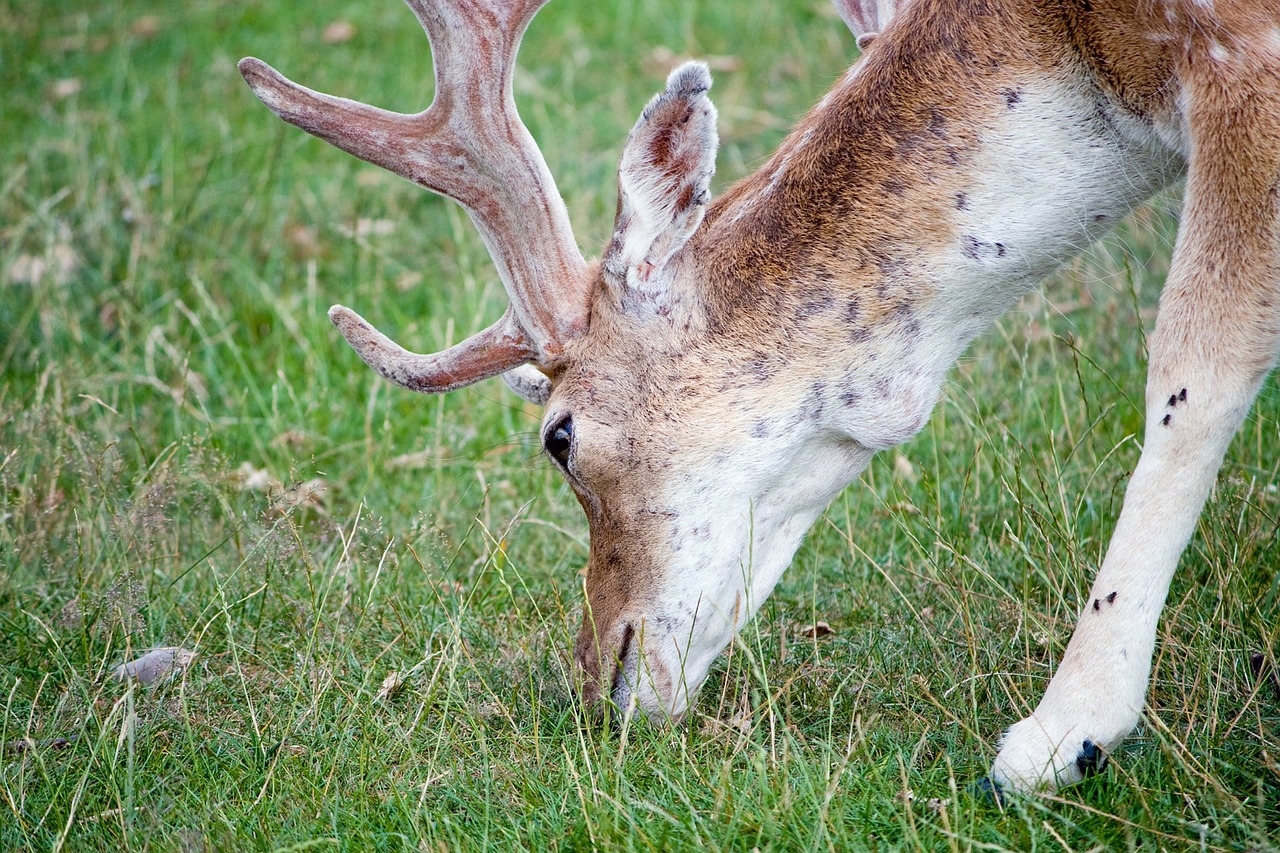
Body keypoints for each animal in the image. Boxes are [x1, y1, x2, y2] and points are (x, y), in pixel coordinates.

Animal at [238, 0, 1280, 788]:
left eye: (559, 437)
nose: (596, 682)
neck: (1087, 40)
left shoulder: (1242, 61)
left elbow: (1194, 364)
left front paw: (1062, 735)